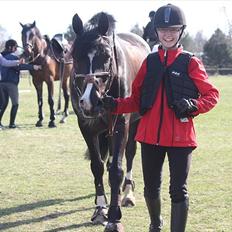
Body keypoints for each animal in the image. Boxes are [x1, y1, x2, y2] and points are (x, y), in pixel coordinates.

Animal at [71, 13, 150, 232]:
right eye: (75, 57)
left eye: (106, 56)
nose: (90, 101)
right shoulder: (87, 127)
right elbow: (97, 166)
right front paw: (100, 209)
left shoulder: (121, 125)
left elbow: (116, 169)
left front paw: (114, 217)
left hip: (135, 123)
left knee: (130, 154)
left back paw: (128, 193)